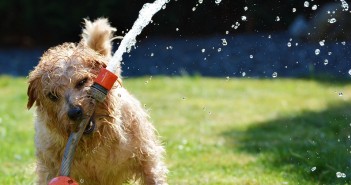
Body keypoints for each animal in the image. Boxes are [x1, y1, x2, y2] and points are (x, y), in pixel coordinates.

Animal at [27, 18, 168, 185]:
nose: (74, 112)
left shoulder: (147, 158)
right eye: (52, 95)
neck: (95, 142)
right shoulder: (50, 169)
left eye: (82, 81)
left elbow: (153, 175)